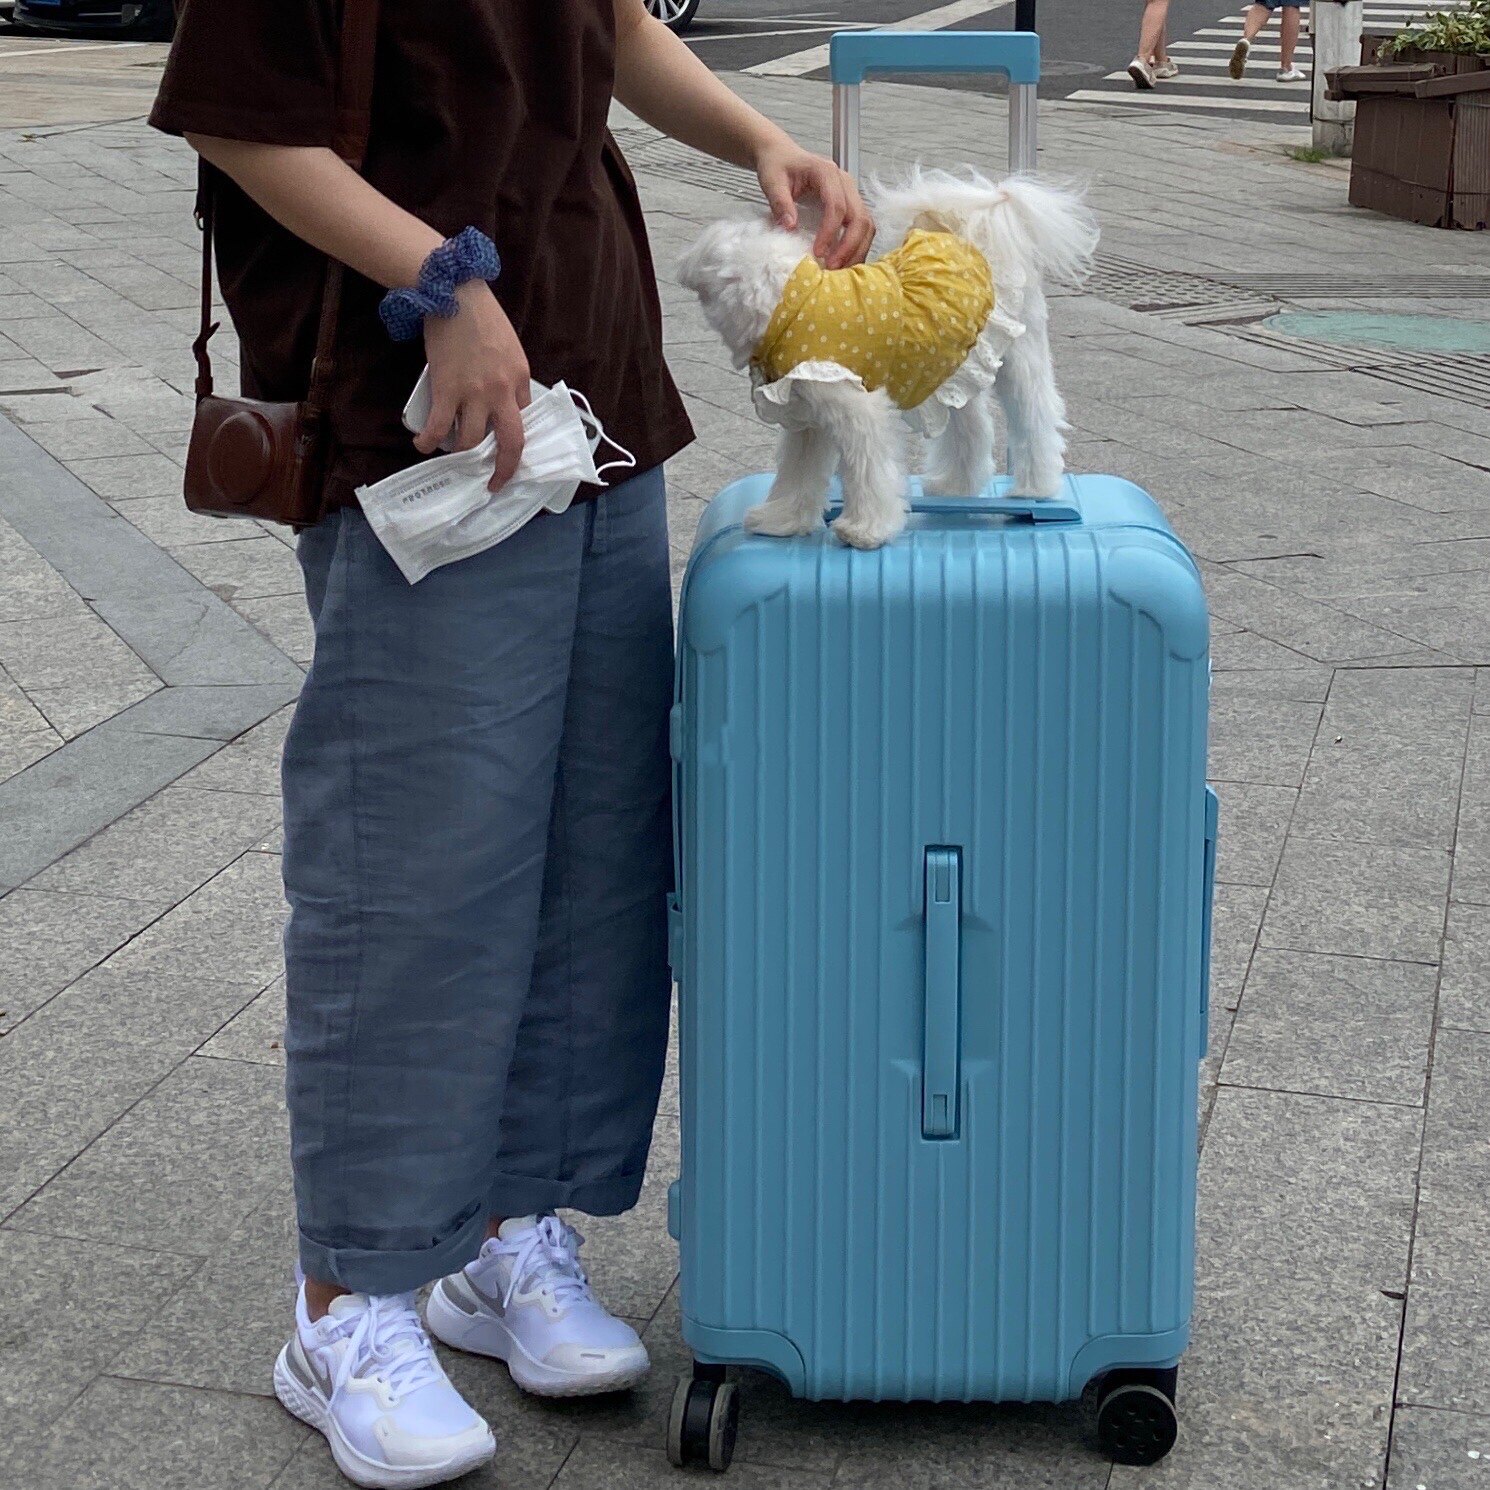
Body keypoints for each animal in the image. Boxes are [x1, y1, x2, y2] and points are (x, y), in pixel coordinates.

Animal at [677, 169, 1099, 549]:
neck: (793, 307)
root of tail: (973, 232)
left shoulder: (857, 412)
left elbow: (870, 471)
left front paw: (866, 530)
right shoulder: (808, 415)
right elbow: (798, 472)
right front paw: (782, 519)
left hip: (1019, 355)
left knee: (1036, 417)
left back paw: (1035, 486)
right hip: (948, 365)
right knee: (974, 428)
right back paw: (955, 484)